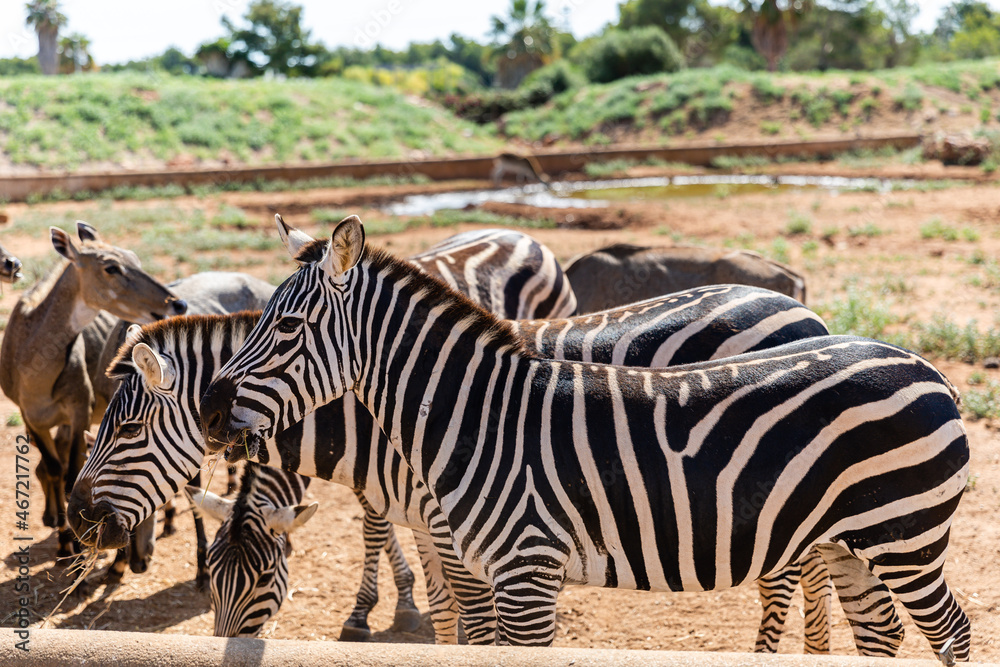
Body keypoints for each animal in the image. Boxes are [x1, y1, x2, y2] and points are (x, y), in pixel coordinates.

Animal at [0, 223, 187, 560]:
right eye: (110, 267)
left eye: (135, 259)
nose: (176, 304)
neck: (32, 367)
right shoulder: (30, 419)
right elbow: (54, 468)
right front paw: (64, 539)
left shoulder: (80, 411)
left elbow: (71, 472)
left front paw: (73, 543)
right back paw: (50, 516)